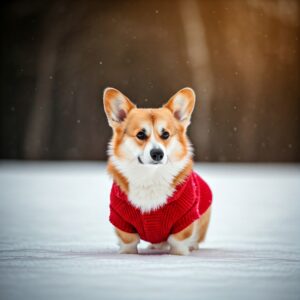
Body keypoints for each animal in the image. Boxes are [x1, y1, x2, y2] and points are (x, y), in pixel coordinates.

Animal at [104, 87, 212, 255]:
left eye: (166, 134)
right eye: (140, 134)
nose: (157, 154)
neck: (150, 175)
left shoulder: (185, 218)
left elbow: (178, 243)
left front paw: (179, 255)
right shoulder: (121, 219)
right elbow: (128, 243)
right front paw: (127, 256)